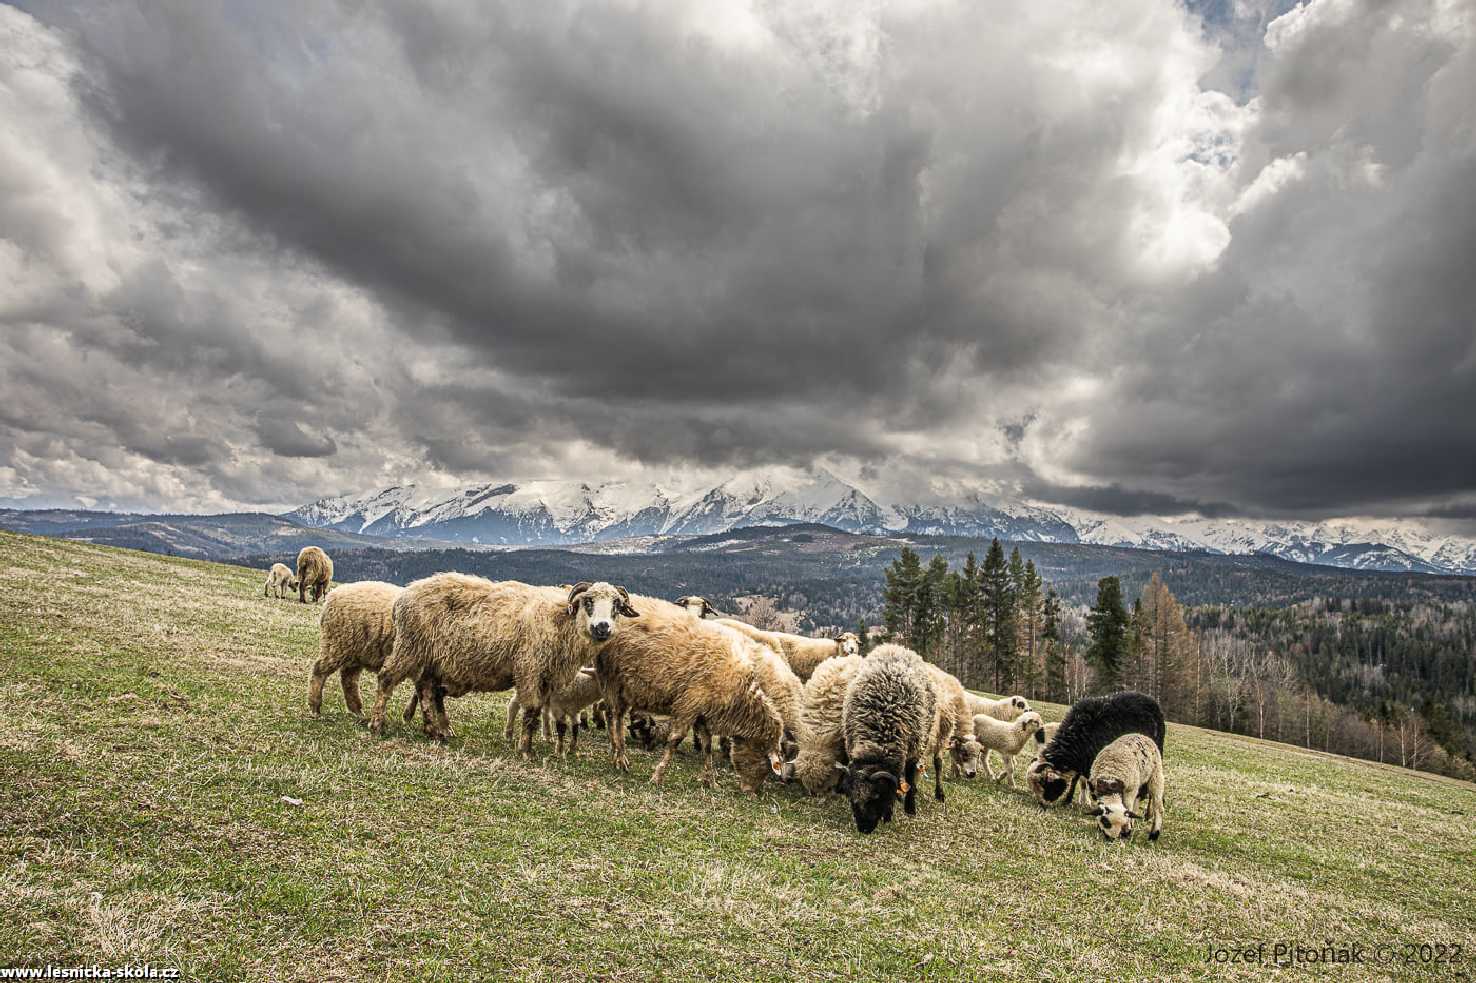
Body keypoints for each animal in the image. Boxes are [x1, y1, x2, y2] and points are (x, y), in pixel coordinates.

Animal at [308, 578, 404, 717]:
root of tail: (333, 594)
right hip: (337, 643)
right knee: (319, 670)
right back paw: (315, 706)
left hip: (356, 651)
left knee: (348, 678)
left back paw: (357, 710)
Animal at [366, 575, 637, 749]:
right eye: (588, 601)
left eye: (617, 605)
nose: (602, 627)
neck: (562, 619)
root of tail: (403, 596)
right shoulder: (529, 667)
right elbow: (531, 709)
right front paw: (525, 749)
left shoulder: (547, 676)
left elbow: (540, 710)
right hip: (411, 646)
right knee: (388, 678)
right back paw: (377, 724)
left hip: (433, 658)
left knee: (425, 689)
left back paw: (435, 731)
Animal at [593, 605, 791, 791]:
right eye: (765, 764)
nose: (750, 792)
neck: (738, 696)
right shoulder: (689, 705)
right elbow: (675, 741)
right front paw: (657, 776)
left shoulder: (702, 713)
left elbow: (707, 747)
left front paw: (711, 781)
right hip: (611, 677)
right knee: (614, 717)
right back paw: (620, 756)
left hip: (620, 686)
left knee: (614, 716)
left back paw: (616, 753)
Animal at [838, 640, 938, 832]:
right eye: (851, 798)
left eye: (877, 796)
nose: (864, 829)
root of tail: (894, 646)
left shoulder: (913, 750)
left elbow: (909, 779)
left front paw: (907, 808)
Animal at [1027, 687, 1163, 802]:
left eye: (1044, 782)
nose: (1044, 802)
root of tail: (1151, 700)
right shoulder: (1081, 760)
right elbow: (1076, 779)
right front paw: (1068, 800)